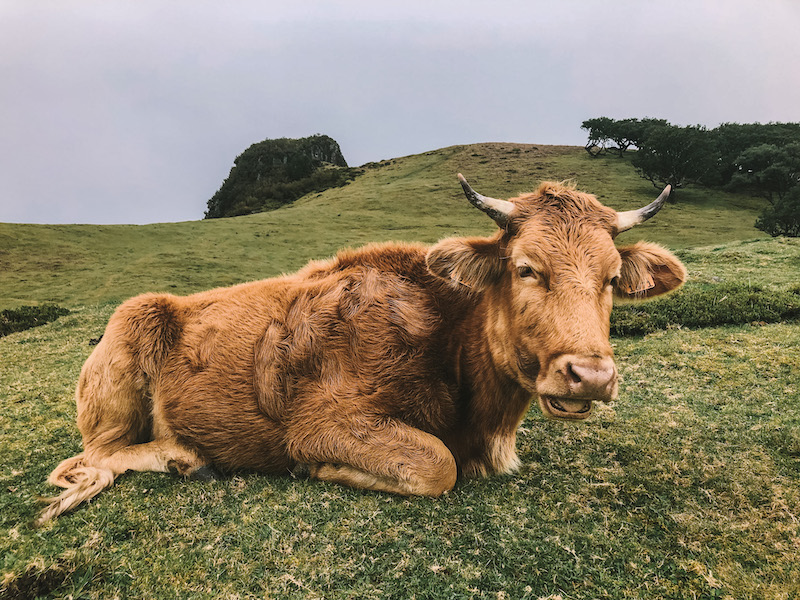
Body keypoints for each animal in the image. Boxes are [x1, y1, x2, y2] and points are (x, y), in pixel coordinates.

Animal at [36, 175, 688, 524]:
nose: (590, 375)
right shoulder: (323, 423)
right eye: (527, 268)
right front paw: (323, 470)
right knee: (94, 456)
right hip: (128, 336)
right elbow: (436, 465)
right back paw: (181, 458)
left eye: (611, 278)